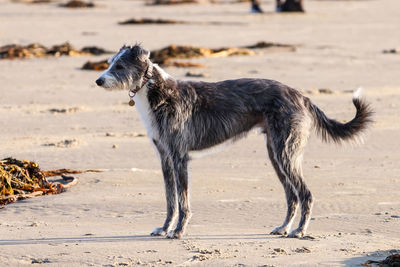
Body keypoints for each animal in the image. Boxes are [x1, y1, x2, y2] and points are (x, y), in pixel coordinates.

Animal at [95, 45, 374, 240]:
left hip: (286, 152)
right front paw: (164, 229)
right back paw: (284, 228)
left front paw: (178, 232)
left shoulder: (179, 157)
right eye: (110, 63)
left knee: (305, 194)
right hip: (275, 153)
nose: (98, 81)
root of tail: (301, 96)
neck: (156, 91)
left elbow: (183, 202)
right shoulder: (165, 157)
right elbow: (170, 200)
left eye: (120, 66)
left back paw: (300, 231)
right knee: (291, 195)